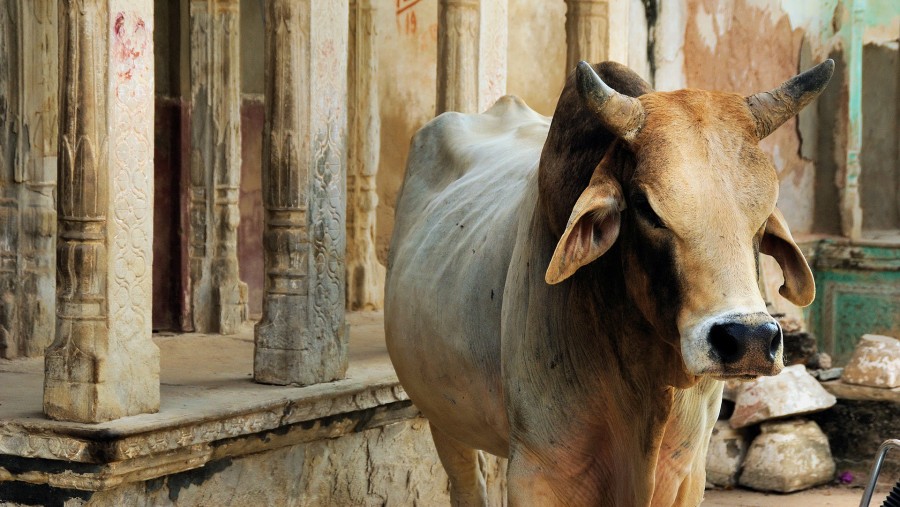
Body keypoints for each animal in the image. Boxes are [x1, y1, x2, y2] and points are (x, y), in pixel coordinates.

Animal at [384, 60, 832, 507]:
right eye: (646, 208)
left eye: (766, 209)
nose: (750, 339)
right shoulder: (537, 471)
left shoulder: (688, 473)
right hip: (442, 416)